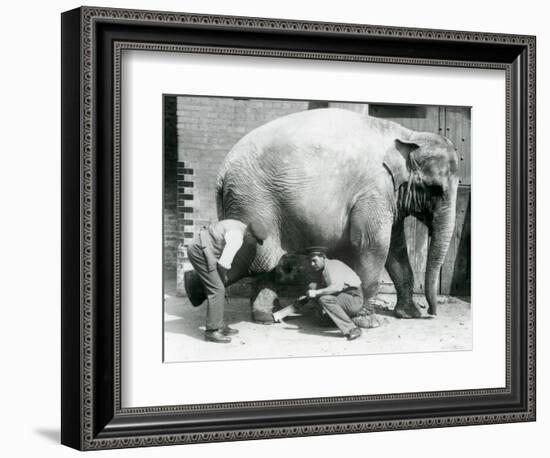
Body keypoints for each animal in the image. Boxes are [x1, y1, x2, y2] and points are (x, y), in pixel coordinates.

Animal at [211, 108, 462, 320]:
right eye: (435, 189)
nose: (431, 313)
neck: (407, 134)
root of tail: (222, 172)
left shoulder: (388, 196)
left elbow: (395, 248)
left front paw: (408, 315)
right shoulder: (374, 191)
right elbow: (373, 245)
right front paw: (367, 320)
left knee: (265, 261)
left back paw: (266, 316)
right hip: (252, 199)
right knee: (259, 259)